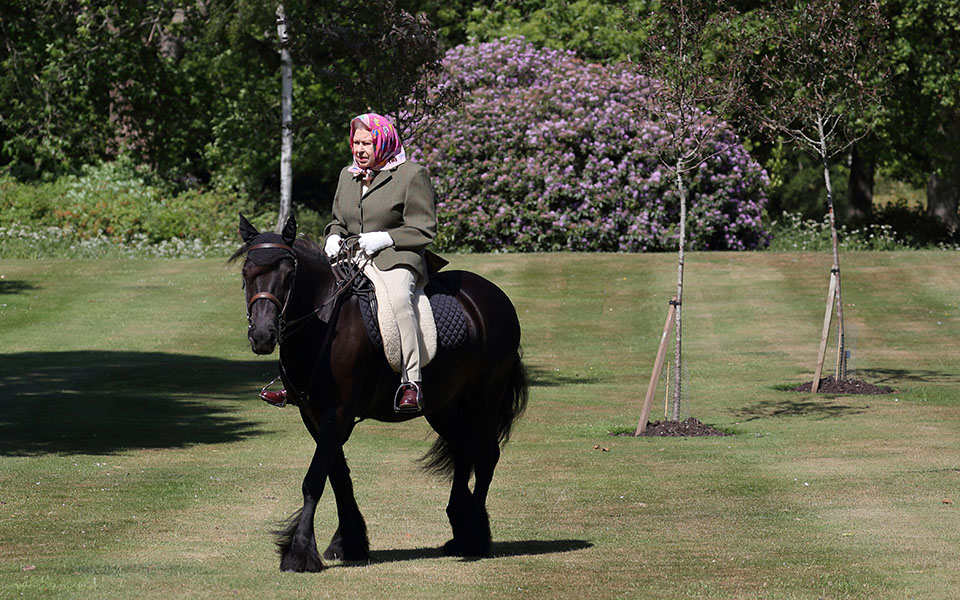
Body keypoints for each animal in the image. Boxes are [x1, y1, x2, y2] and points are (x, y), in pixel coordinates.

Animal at [234, 216, 532, 572]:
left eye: (289, 275)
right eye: (246, 273)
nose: (263, 336)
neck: (324, 322)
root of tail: (493, 295)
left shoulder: (339, 412)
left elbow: (315, 479)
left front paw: (300, 552)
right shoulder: (314, 414)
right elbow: (338, 475)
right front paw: (349, 542)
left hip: (483, 397)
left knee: (486, 456)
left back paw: (474, 536)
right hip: (443, 405)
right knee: (463, 450)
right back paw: (461, 530)